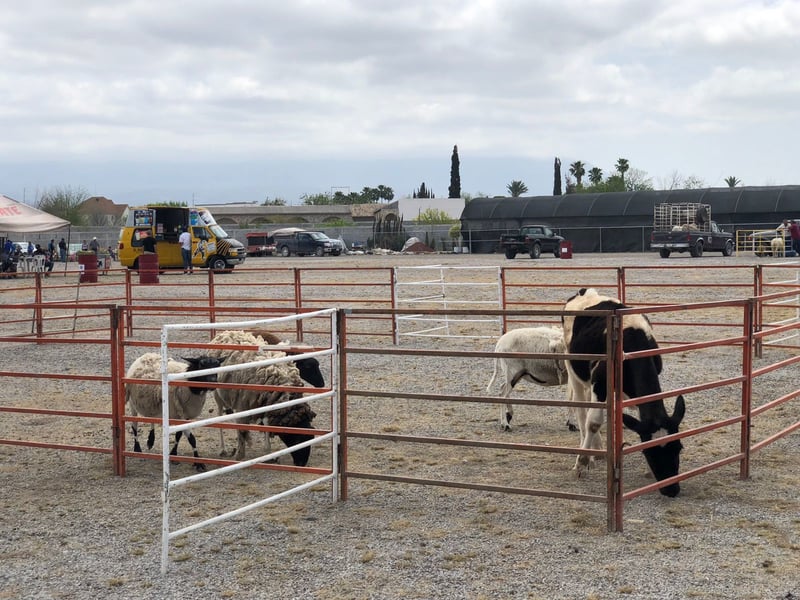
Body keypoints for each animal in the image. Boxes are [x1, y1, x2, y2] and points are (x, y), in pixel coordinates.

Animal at [208, 330, 318, 466]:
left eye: (310, 438)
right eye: (298, 440)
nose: (301, 464)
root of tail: (226, 333)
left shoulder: (266, 403)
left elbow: (265, 425)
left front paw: (269, 453)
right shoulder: (243, 404)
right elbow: (242, 428)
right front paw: (240, 454)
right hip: (217, 394)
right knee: (219, 415)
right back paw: (223, 449)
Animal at [564, 288, 688, 496]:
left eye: (678, 448)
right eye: (650, 453)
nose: (672, 489)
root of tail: (585, 291)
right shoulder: (599, 383)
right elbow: (593, 423)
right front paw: (581, 463)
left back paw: (598, 449)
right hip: (573, 368)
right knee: (582, 411)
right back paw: (588, 455)